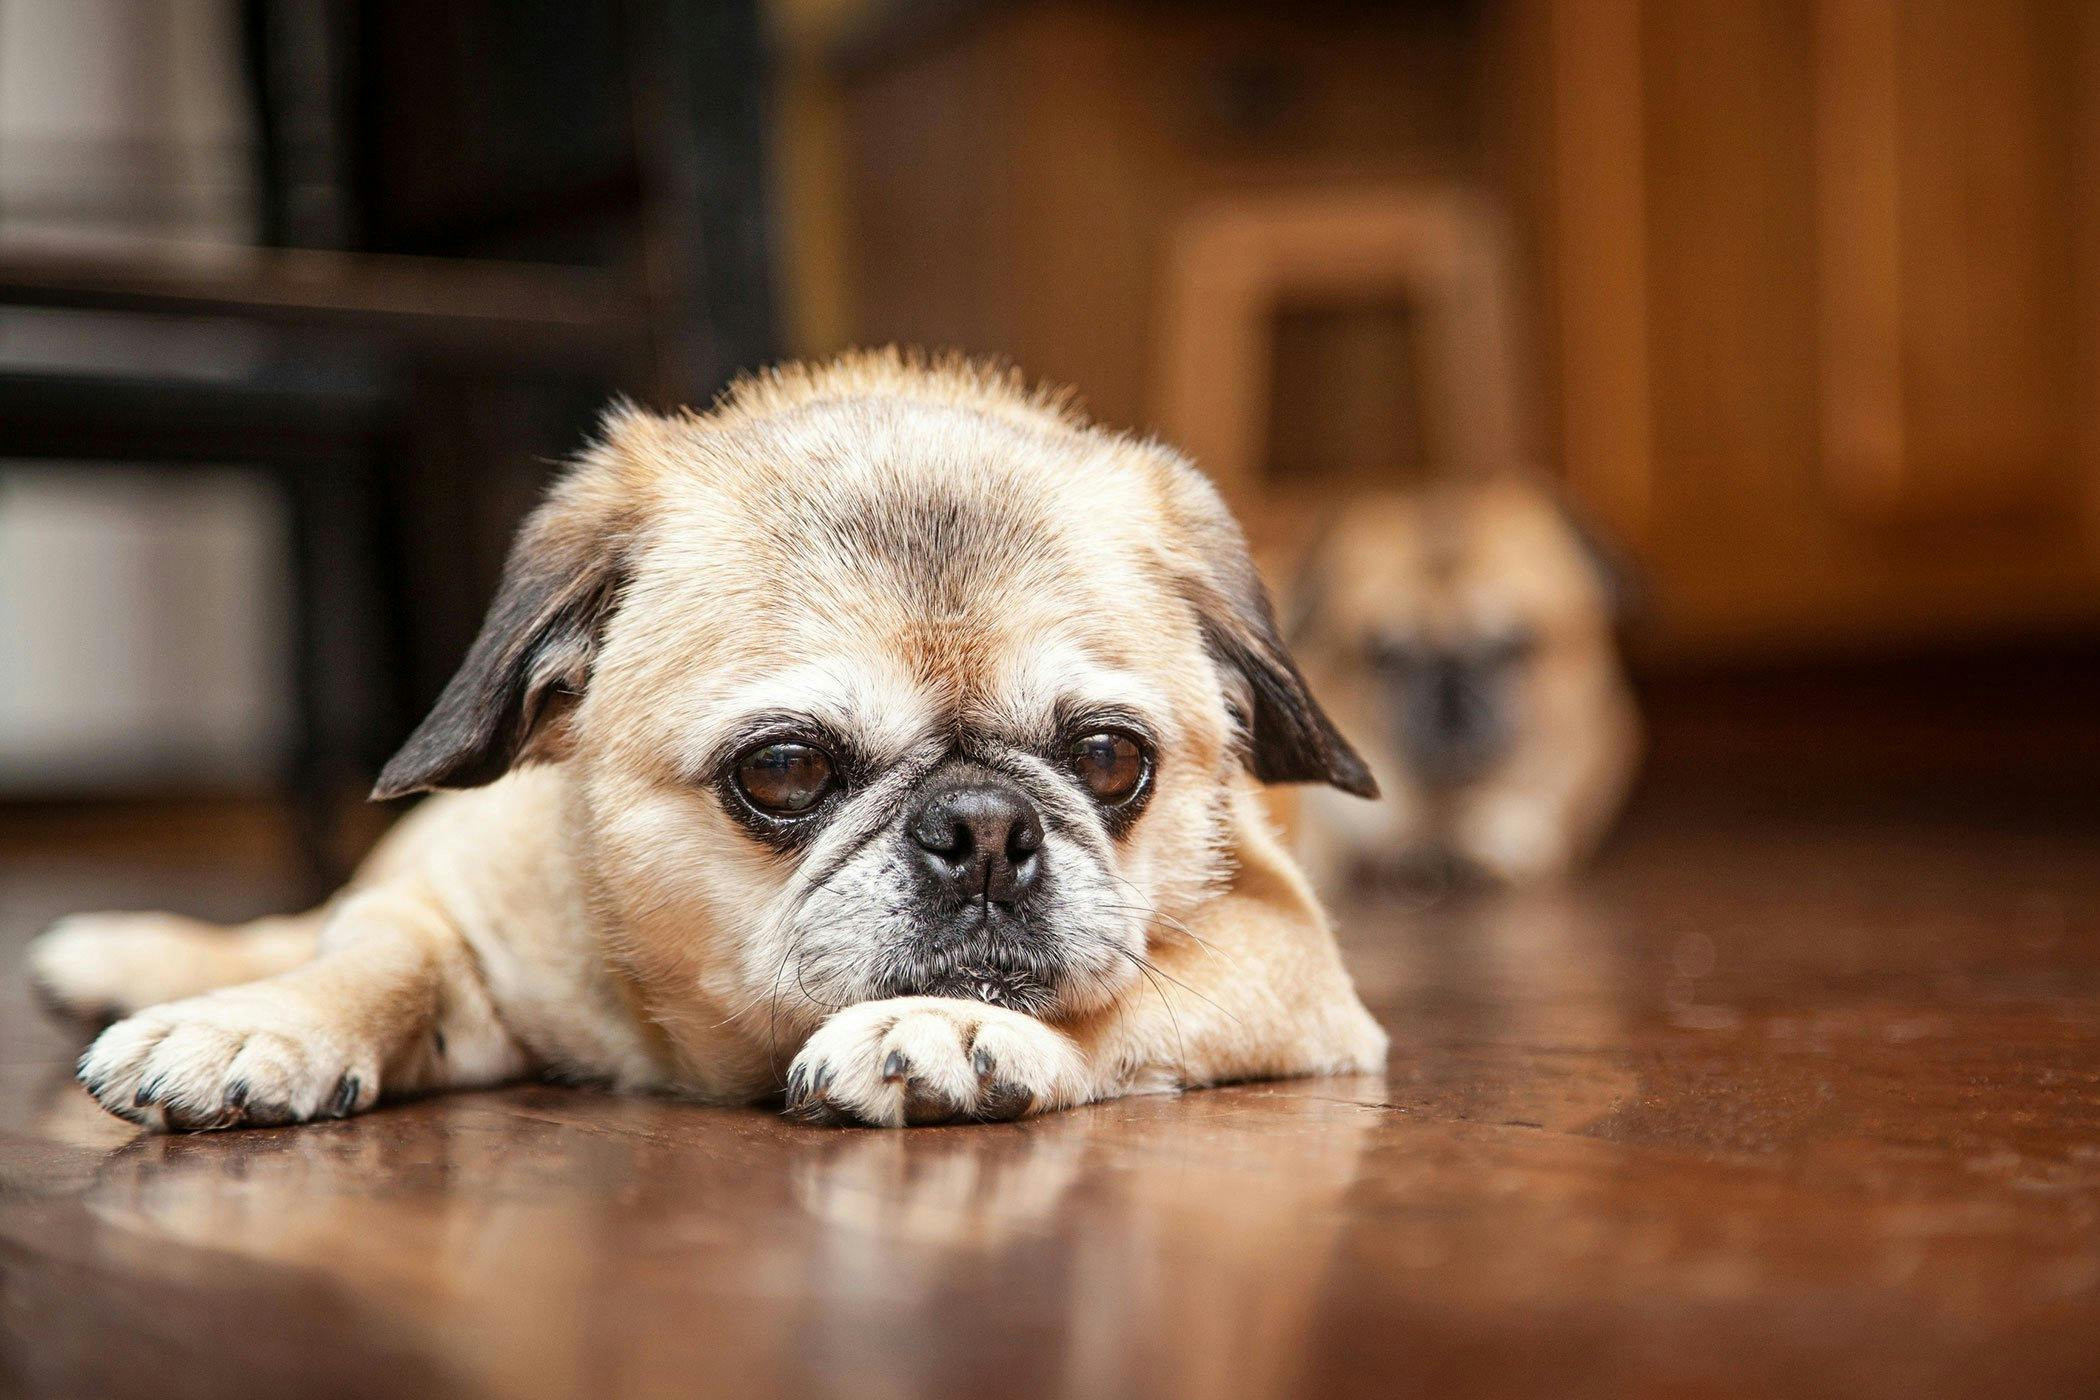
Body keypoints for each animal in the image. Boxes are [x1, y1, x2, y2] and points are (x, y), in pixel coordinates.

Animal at [28, 352, 1394, 1141]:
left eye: (1111, 759)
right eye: (784, 770)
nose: (985, 829)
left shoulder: (1288, 957)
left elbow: (1133, 999)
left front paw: (961, 1029)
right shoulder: (443, 912)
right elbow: (374, 961)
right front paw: (258, 1025)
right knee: (306, 924)